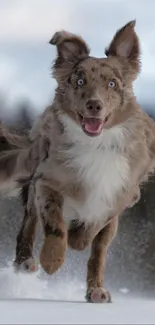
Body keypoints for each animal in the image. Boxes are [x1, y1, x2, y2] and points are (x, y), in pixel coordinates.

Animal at [0, 21, 155, 302]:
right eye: (80, 80)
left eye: (112, 84)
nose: (94, 105)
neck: (97, 144)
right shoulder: (46, 181)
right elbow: (54, 225)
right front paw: (51, 260)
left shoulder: (121, 194)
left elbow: (94, 227)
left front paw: (78, 239)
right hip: (32, 190)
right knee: (28, 226)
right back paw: (26, 262)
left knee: (98, 254)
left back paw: (96, 290)